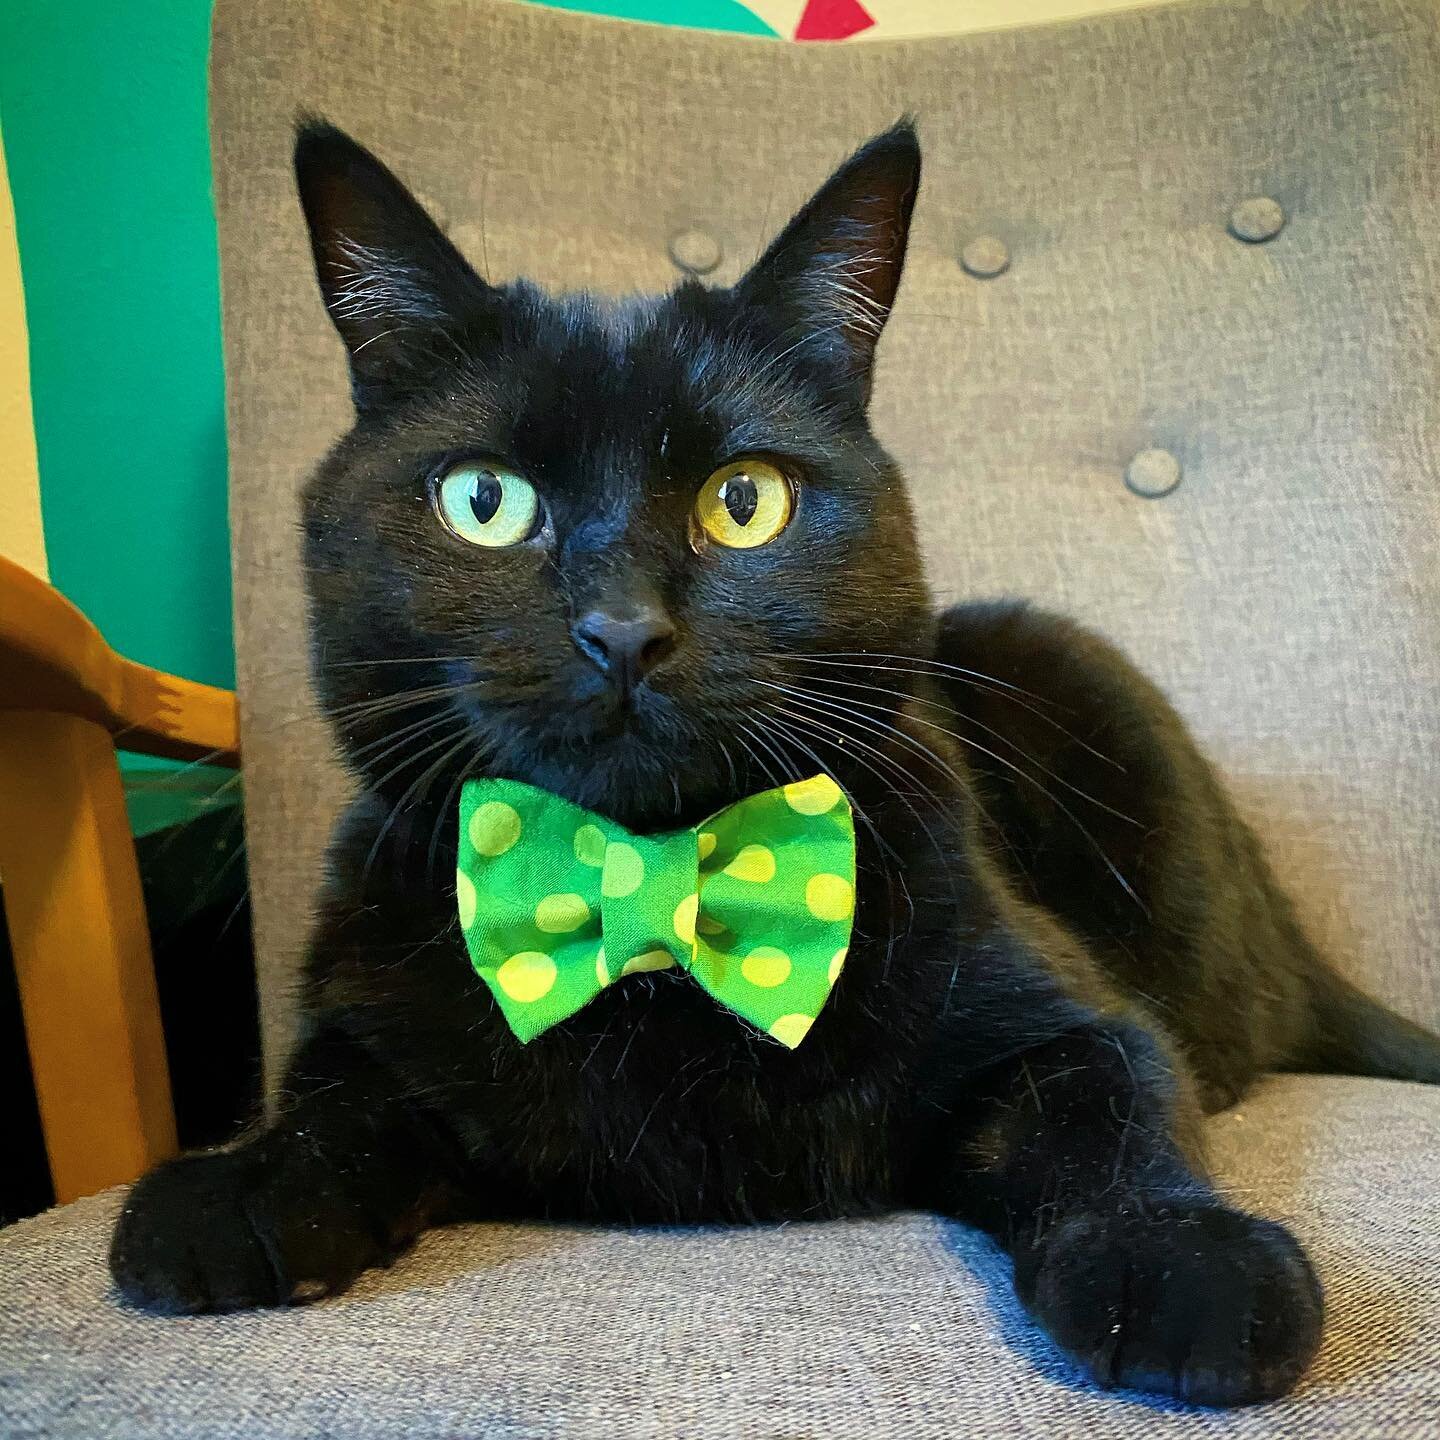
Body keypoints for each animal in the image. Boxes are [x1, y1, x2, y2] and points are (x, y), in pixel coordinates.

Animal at [109, 120, 1440, 1405]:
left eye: (742, 501)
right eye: (484, 501)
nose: (624, 630)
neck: (649, 879)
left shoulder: (1070, 1021)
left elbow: (1109, 1114)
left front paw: (1185, 1264)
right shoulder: (371, 997)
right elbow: (330, 1095)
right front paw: (237, 1188)